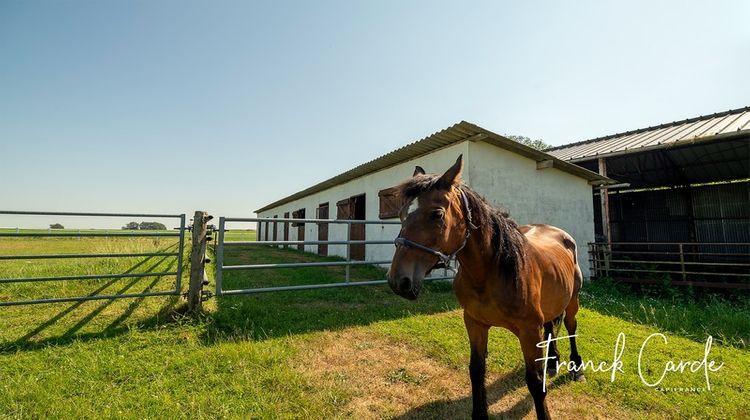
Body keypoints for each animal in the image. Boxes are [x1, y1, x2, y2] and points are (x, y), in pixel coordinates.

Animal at [388, 155, 588, 420]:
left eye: (437, 214)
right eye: (401, 214)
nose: (398, 281)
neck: (490, 273)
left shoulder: (528, 331)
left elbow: (535, 383)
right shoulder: (474, 322)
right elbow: (476, 370)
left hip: (573, 300)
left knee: (570, 326)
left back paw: (576, 367)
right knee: (551, 327)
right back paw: (553, 361)